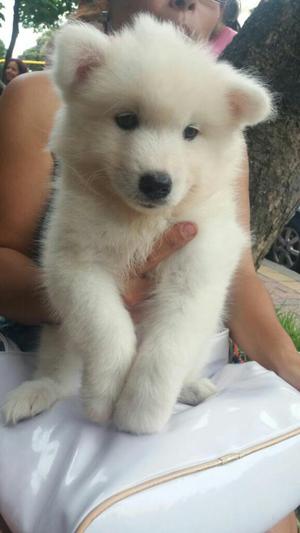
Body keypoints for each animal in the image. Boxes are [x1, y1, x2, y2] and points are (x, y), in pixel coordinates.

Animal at [1, 15, 274, 432]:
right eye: (126, 120)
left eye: (191, 132)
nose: (157, 182)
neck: (142, 222)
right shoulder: (74, 263)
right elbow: (105, 327)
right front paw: (105, 395)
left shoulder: (198, 265)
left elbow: (168, 344)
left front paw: (141, 411)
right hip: (58, 331)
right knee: (59, 373)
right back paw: (34, 393)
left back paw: (192, 387)